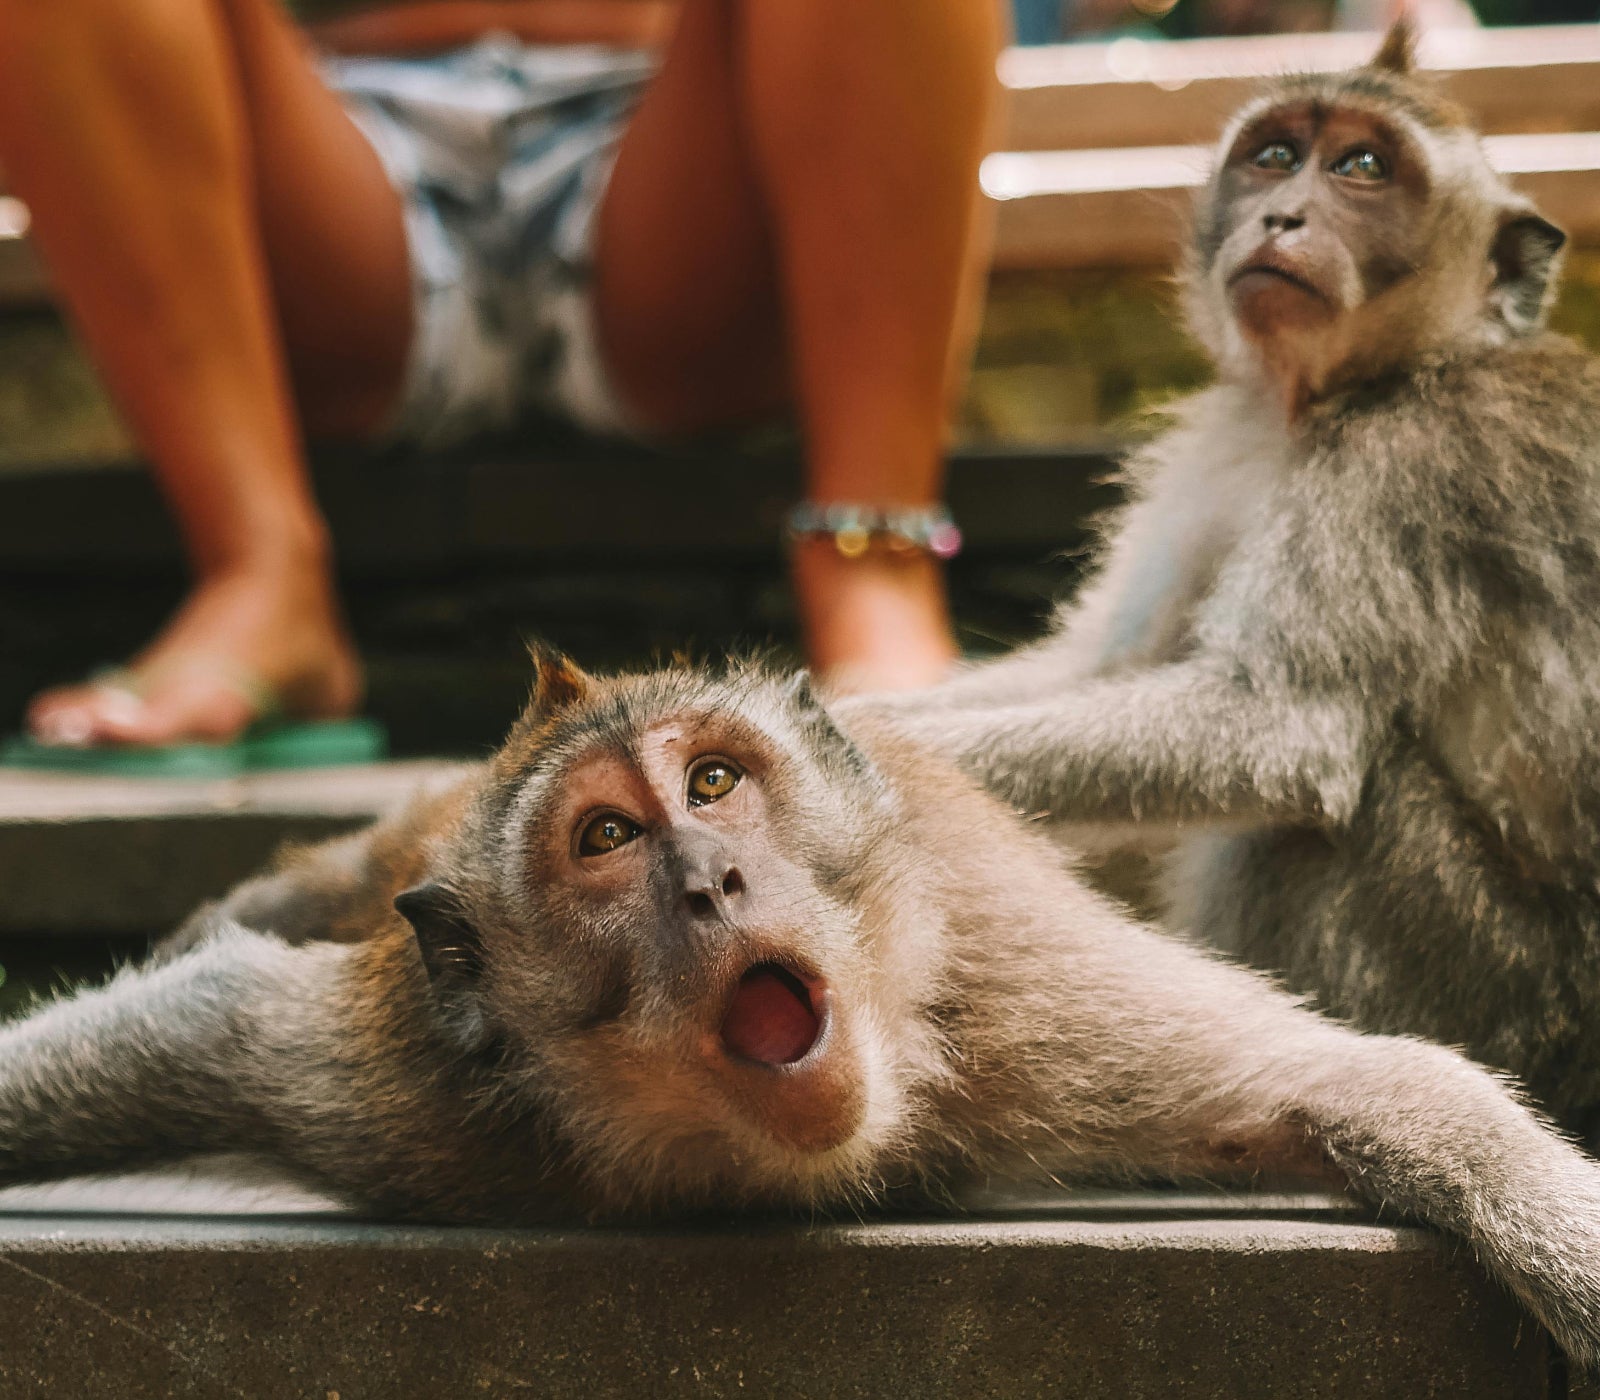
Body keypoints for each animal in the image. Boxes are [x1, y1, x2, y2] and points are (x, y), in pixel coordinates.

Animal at [3, 650, 1600, 1362]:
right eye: (606, 837)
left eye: (713, 782)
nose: (710, 877)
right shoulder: (428, 1099)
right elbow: (200, 1021)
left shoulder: (1006, 993)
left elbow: (1358, 1079)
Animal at [864, 20, 1600, 1136]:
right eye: (1274, 154)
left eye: (1362, 167)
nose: (1281, 214)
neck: (1358, 386)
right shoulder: (1221, 447)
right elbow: (1103, 667)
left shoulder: (1403, 470)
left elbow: (1276, 726)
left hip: (1513, 996)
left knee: (1316, 821)